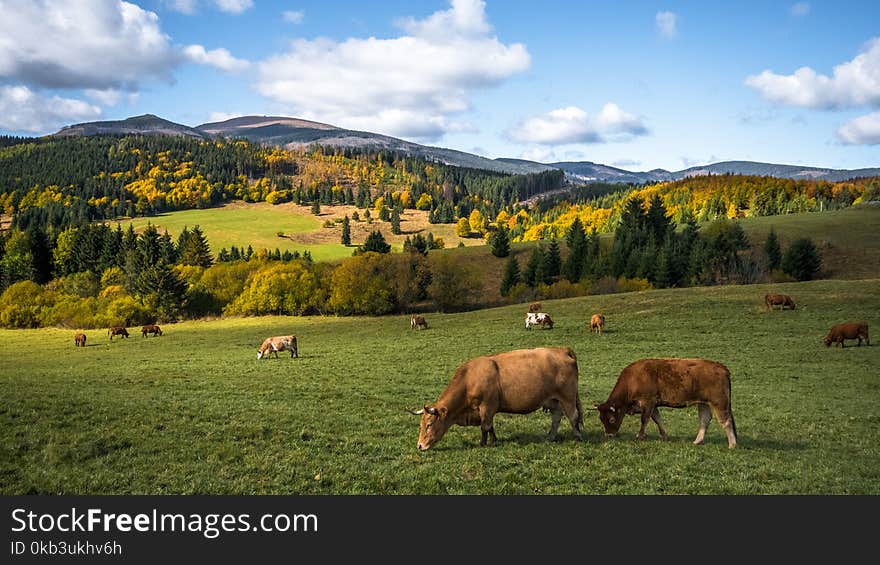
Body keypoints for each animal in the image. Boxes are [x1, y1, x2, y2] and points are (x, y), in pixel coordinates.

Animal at [414, 344, 584, 450]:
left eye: (429, 424)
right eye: (421, 425)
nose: (420, 445)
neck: (469, 378)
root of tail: (561, 350)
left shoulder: (486, 406)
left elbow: (485, 427)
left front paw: (483, 444)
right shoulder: (487, 410)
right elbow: (490, 426)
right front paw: (494, 440)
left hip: (568, 397)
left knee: (573, 416)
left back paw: (578, 437)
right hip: (555, 400)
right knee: (556, 418)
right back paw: (551, 437)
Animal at [600, 360, 736, 448]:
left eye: (612, 419)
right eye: (601, 418)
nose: (609, 435)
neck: (633, 379)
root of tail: (721, 367)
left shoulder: (647, 402)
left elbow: (644, 420)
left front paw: (640, 436)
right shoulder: (653, 405)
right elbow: (657, 419)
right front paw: (665, 436)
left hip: (719, 402)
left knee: (726, 421)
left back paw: (732, 444)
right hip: (703, 403)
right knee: (704, 420)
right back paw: (697, 441)